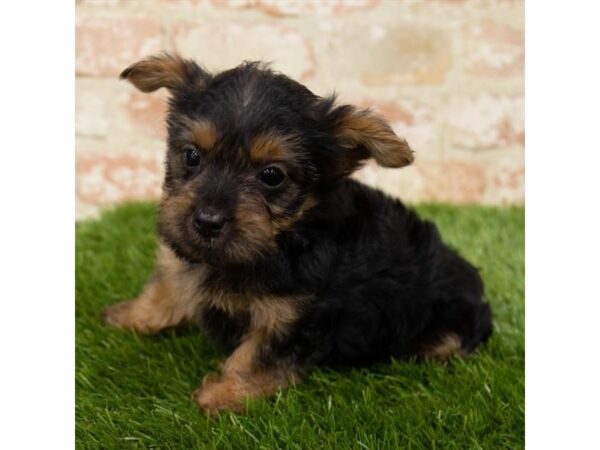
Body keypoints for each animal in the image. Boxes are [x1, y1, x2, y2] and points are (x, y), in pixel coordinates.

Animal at [102, 51, 492, 412]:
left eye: (272, 175)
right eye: (191, 156)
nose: (207, 221)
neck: (282, 240)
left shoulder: (291, 316)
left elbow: (254, 356)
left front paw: (222, 395)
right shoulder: (184, 256)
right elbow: (164, 287)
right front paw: (130, 316)